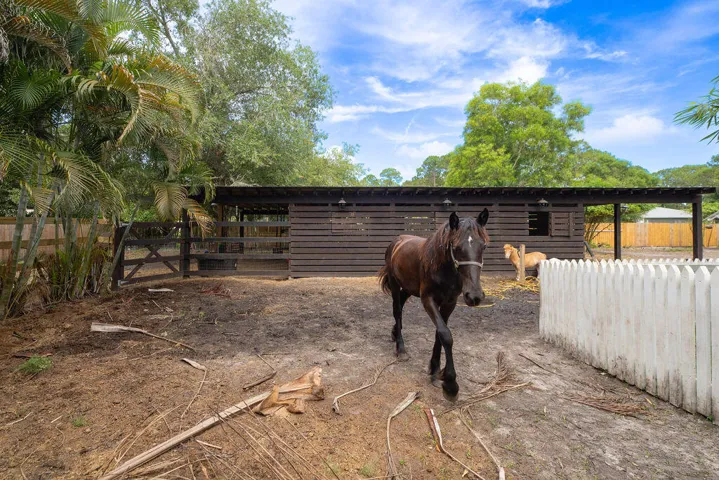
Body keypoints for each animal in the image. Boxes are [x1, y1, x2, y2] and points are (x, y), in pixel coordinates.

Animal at [377, 209, 490, 401]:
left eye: (483, 246)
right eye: (456, 247)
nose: (474, 296)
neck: (443, 268)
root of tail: (397, 240)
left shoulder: (449, 303)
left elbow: (440, 333)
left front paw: (436, 370)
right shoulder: (428, 300)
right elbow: (445, 334)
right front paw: (450, 384)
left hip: (409, 287)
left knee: (401, 306)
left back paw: (394, 333)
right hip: (394, 283)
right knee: (397, 310)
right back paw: (401, 349)